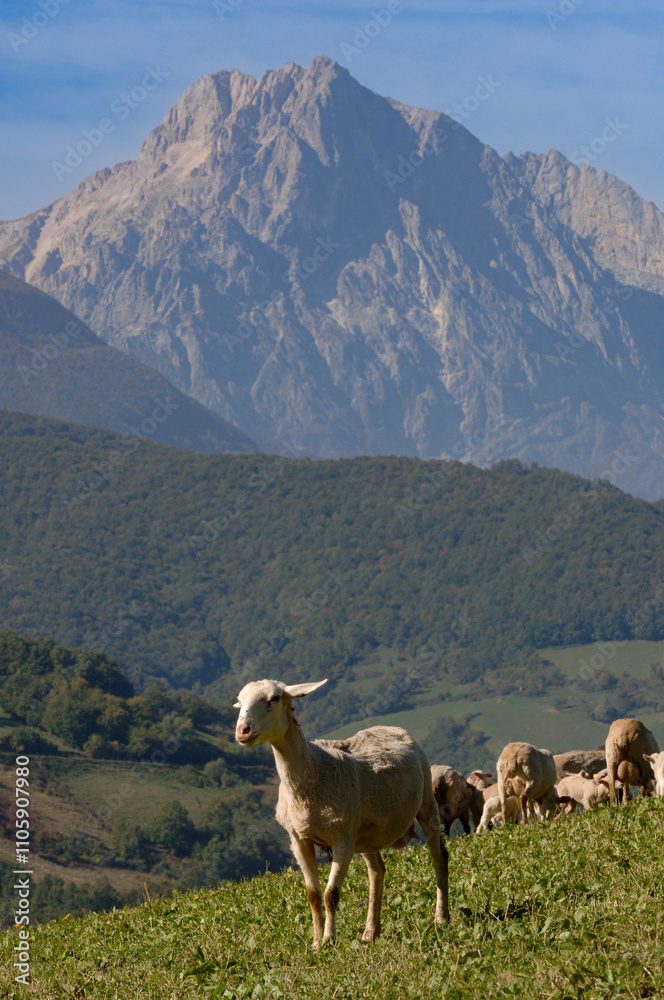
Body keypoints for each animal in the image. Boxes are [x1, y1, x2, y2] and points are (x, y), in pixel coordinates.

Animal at [234, 678, 449, 948]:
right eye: (240, 702)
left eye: (274, 698)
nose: (242, 731)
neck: (311, 772)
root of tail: (391, 727)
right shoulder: (298, 839)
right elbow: (313, 895)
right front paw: (316, 943)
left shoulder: (342, 838)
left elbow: (330, 894)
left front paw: (329, 939)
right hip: (367, 832)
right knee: (377, 871)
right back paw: (370, 932)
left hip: (426, 803)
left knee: (439, 858)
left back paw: (441, 918)